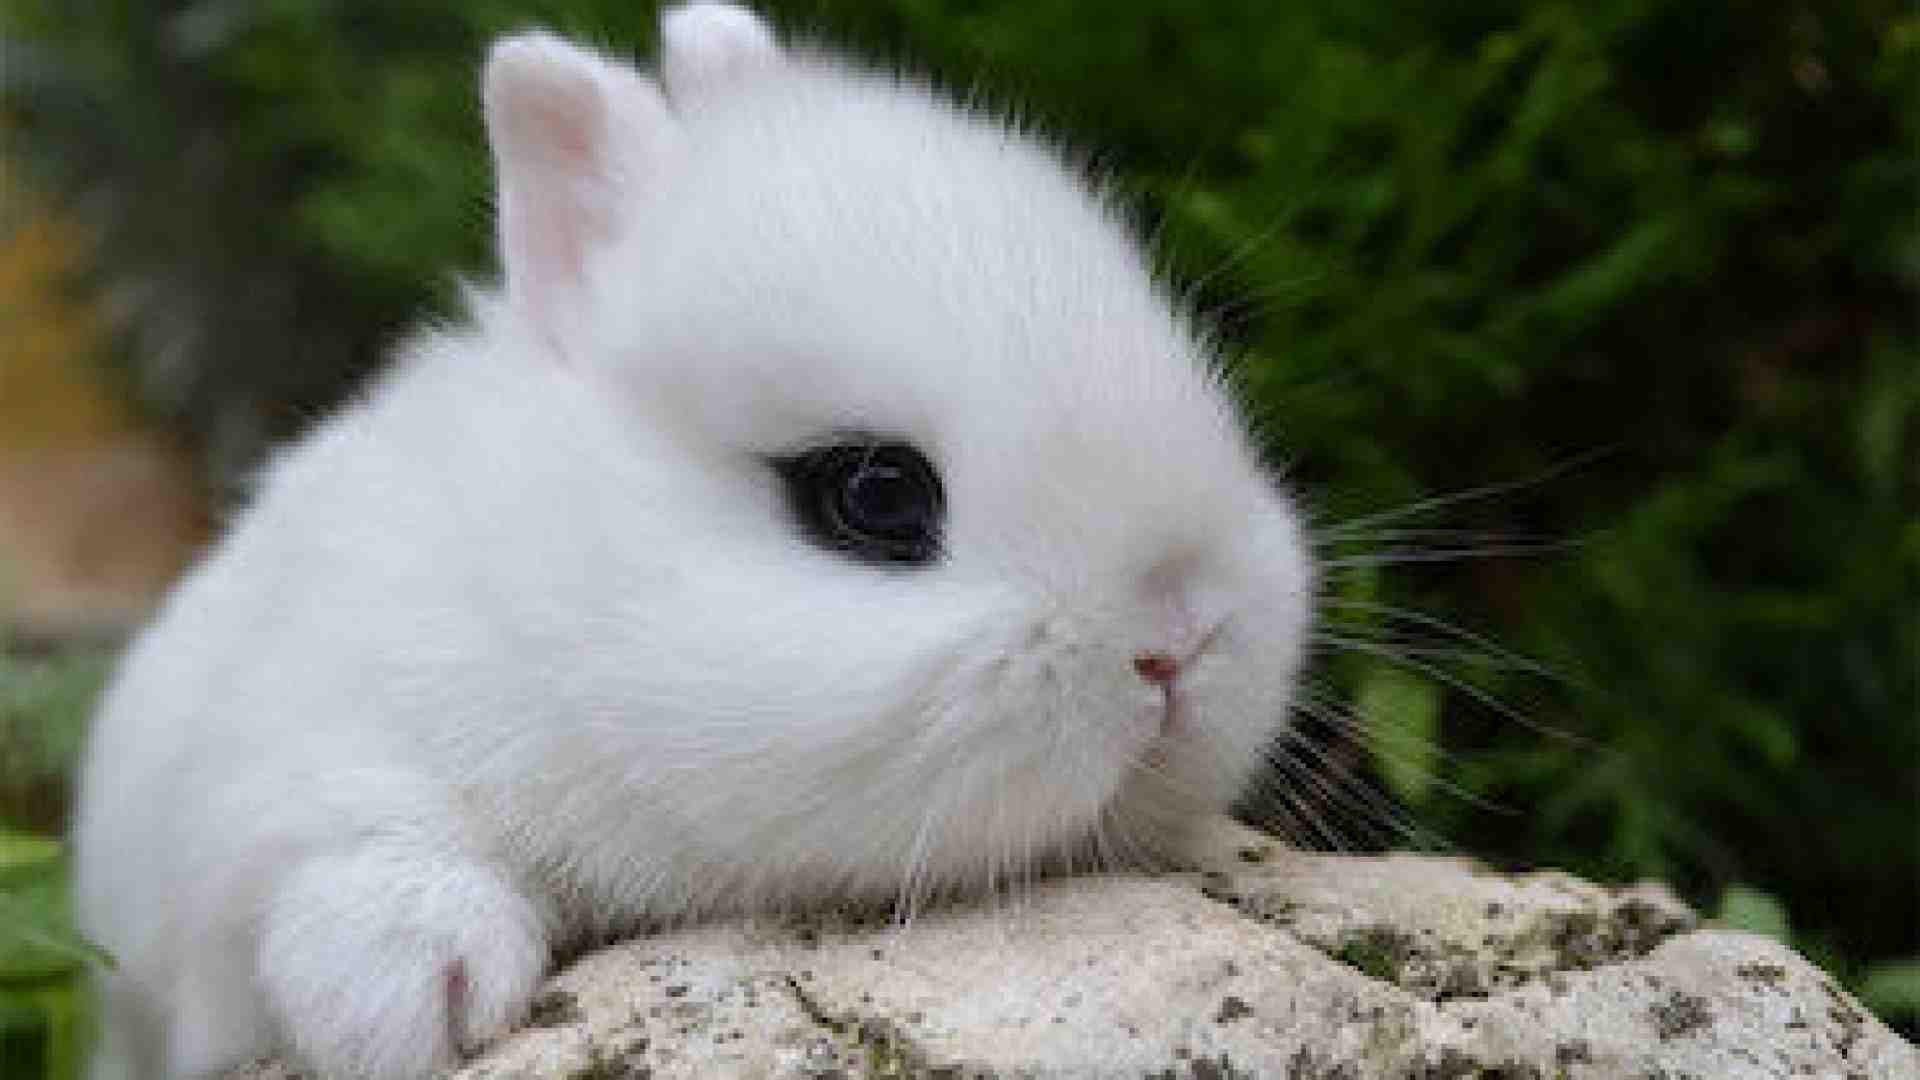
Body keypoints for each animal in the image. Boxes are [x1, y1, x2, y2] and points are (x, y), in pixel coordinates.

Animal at [71, 4, 1315, 1078]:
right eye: (875, 495)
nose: (1179, 638)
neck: (570, 587)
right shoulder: (300, 747)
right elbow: (338, 838)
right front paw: (426, 1000)